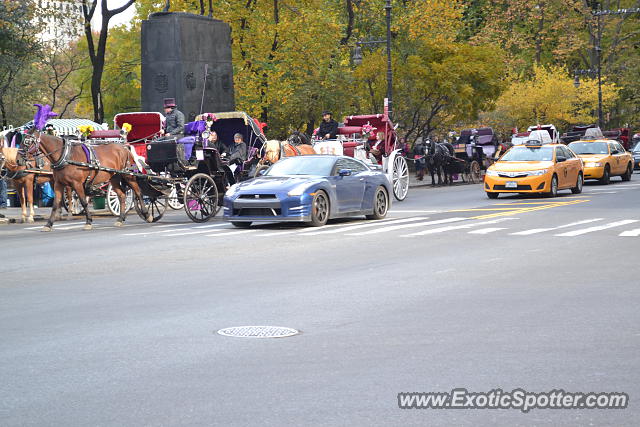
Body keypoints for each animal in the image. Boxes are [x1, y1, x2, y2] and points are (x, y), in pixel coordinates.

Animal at [21, 131, 151, 231]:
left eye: (27, 142)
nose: (19, 158)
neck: (66, 156)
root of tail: (124, 147)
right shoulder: (59, 184)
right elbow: (55, 204)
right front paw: (48, 224)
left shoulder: (77, 184)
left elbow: (83, 201)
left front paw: (88, 222)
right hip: (114, 178)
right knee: (122, 196)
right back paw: (120, 218)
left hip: (128, 176)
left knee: (138, 192)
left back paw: (147, 214)